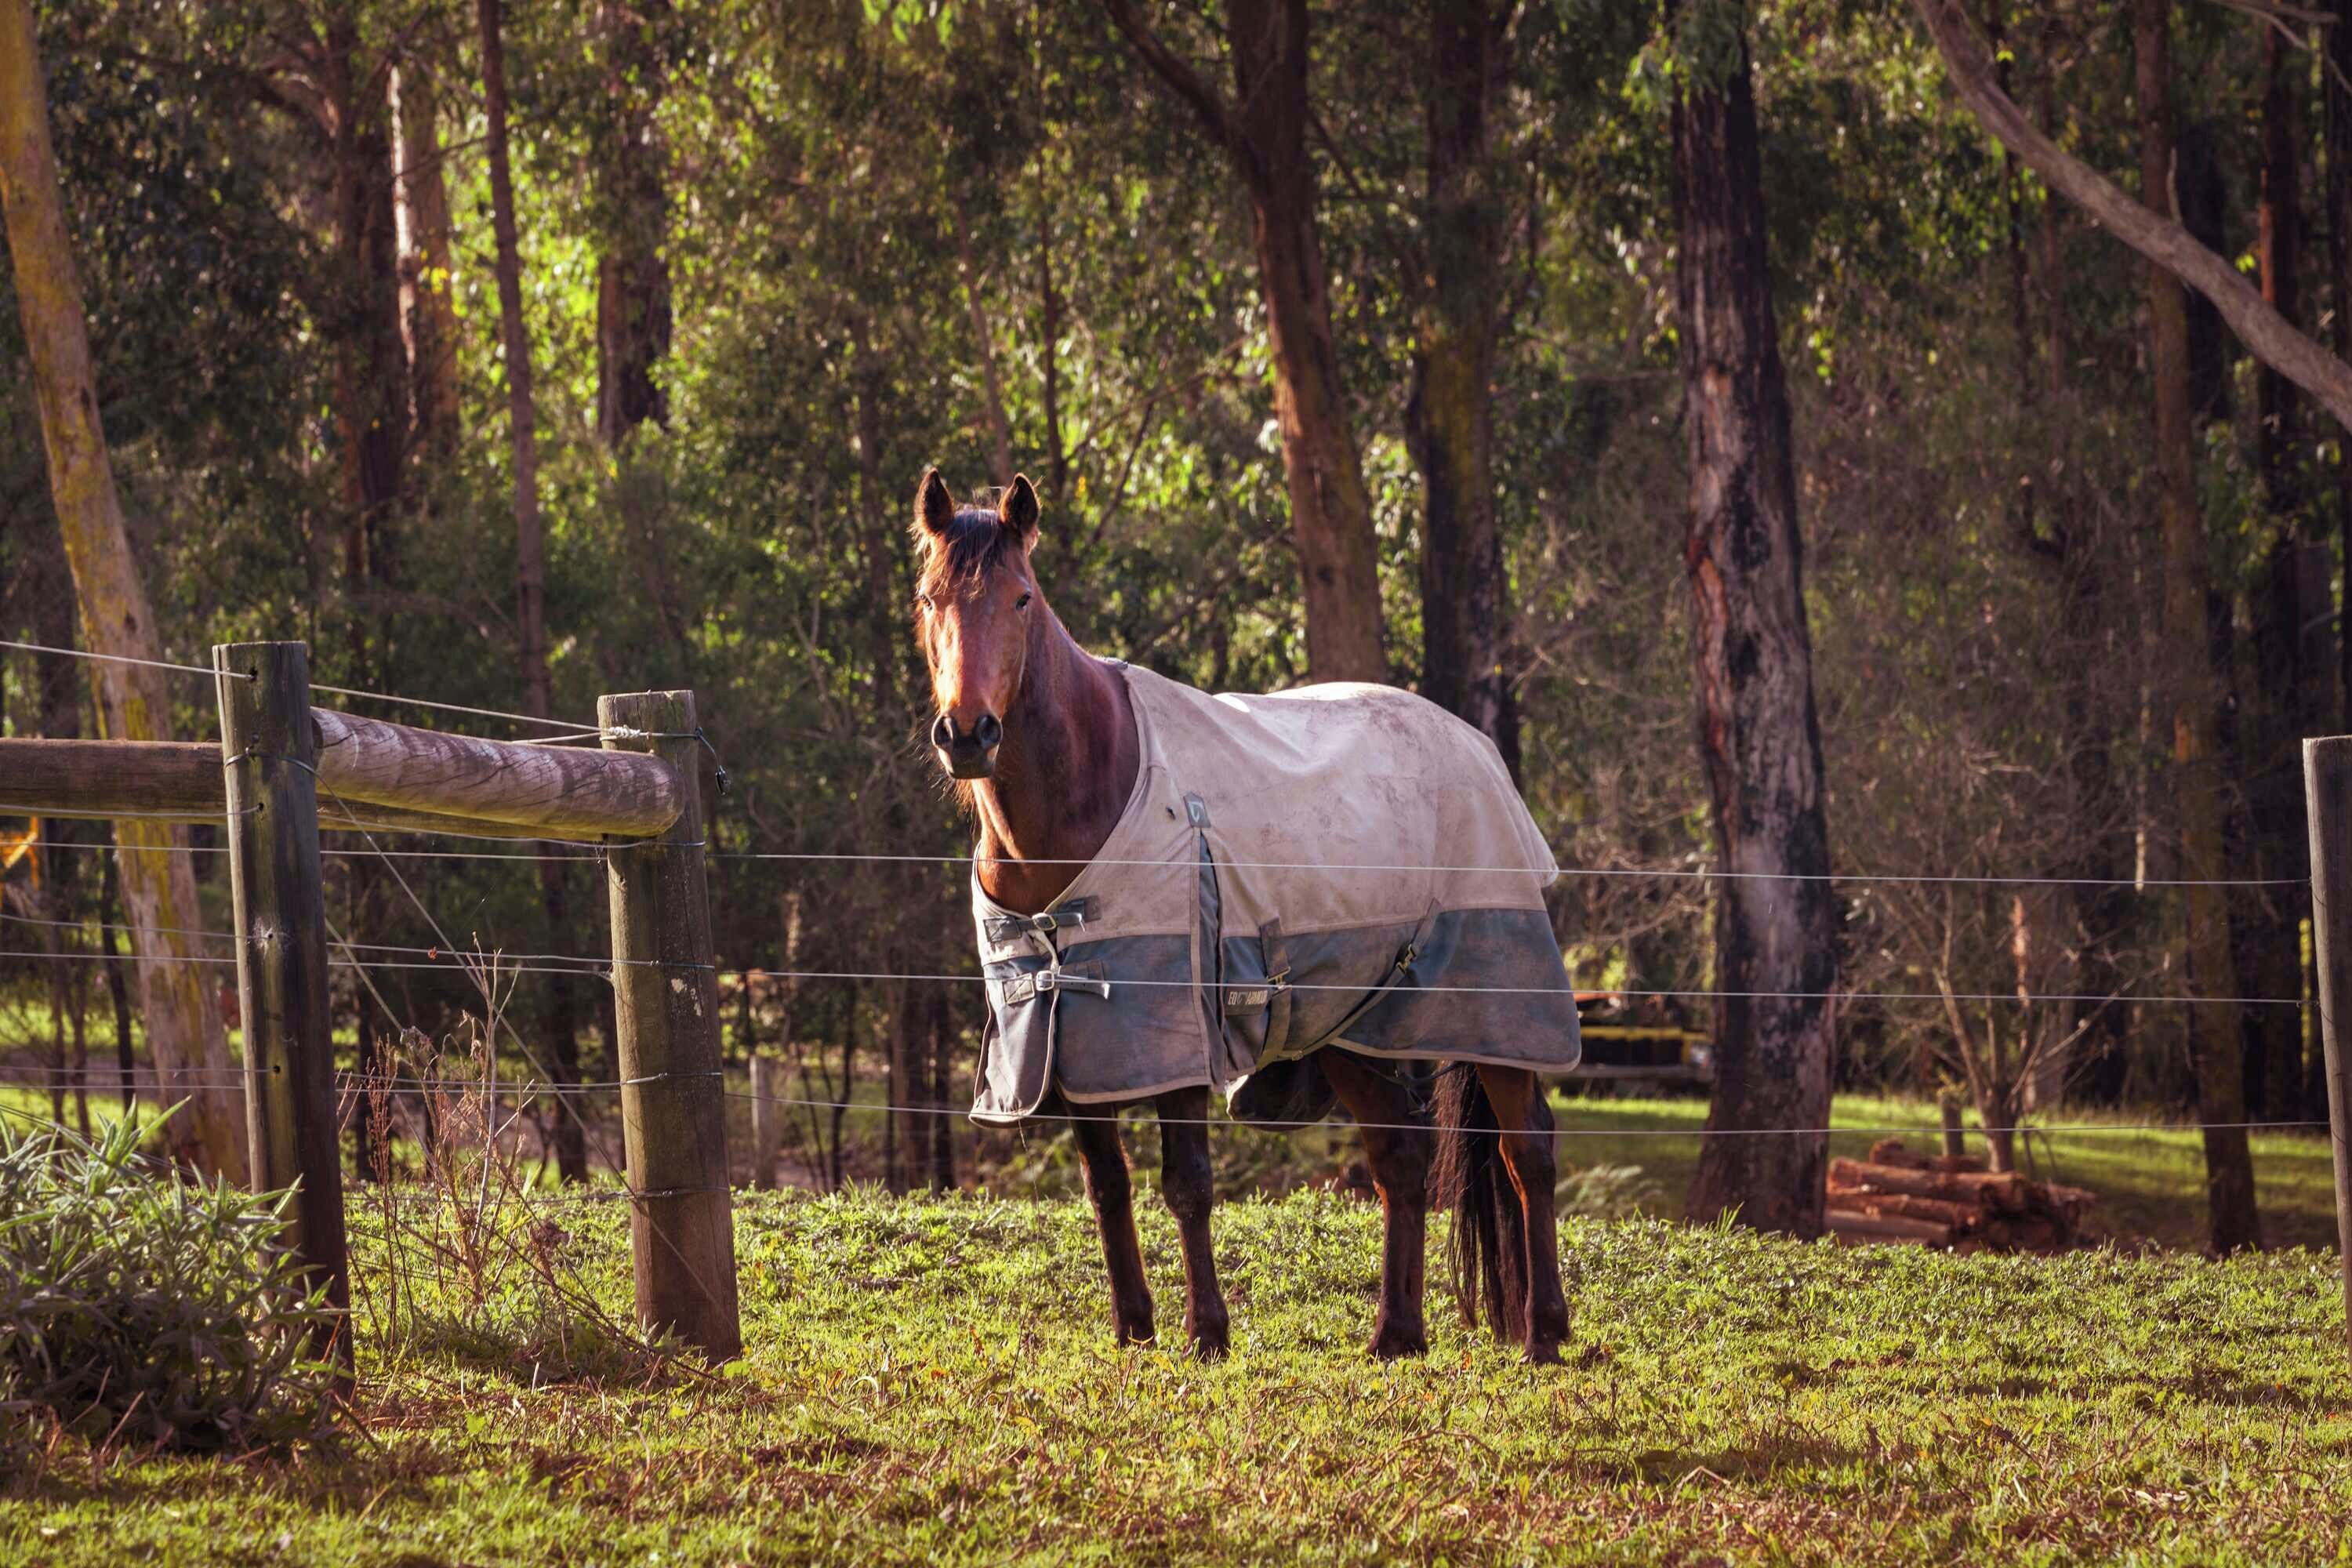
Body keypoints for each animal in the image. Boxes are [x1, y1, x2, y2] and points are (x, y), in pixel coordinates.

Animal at [910, 466, 1575, 1363]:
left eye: (1020, 598)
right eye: (930, 598)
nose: (968, 734)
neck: (1090, 785)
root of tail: (1477, 747)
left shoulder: (1174, 1036)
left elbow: (1187, 1183)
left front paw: (1206, 1333)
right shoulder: (1074, 1038)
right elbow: (1106, 1183)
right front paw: (1134, 1329)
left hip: (1493, 1011)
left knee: (1526, 1150)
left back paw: (1543, 1332)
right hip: (1357, 1028)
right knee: (1400, 1156)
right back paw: (1396, 1335)